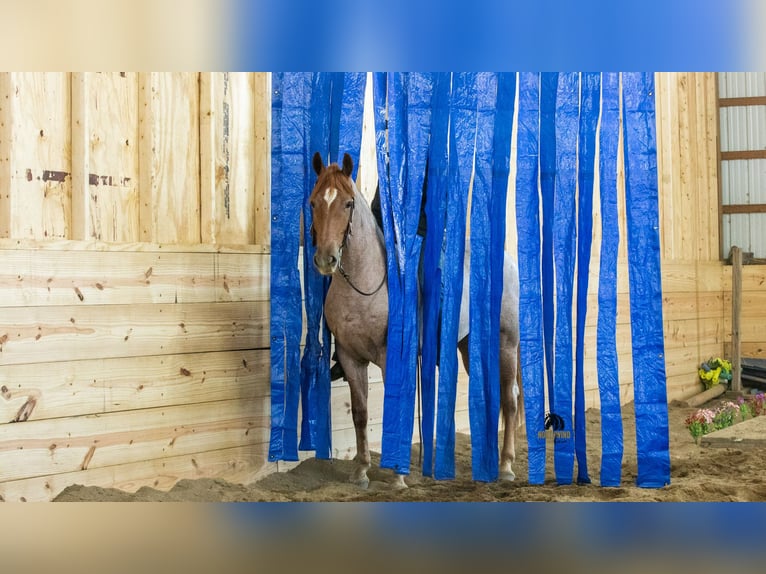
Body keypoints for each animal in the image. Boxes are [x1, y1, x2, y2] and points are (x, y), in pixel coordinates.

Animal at [309, 151, 521, 489]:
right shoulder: (350, 356)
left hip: (506, 343)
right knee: (490, 396)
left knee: (509, 399)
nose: (325, 259)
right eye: (314, 202)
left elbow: (397, 409)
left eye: (347, 203)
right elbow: (361, 413)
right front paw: (361, 471)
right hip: (470, 347)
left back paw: (506, 466)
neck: (365, 285)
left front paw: (398, 476)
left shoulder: (391, 358)